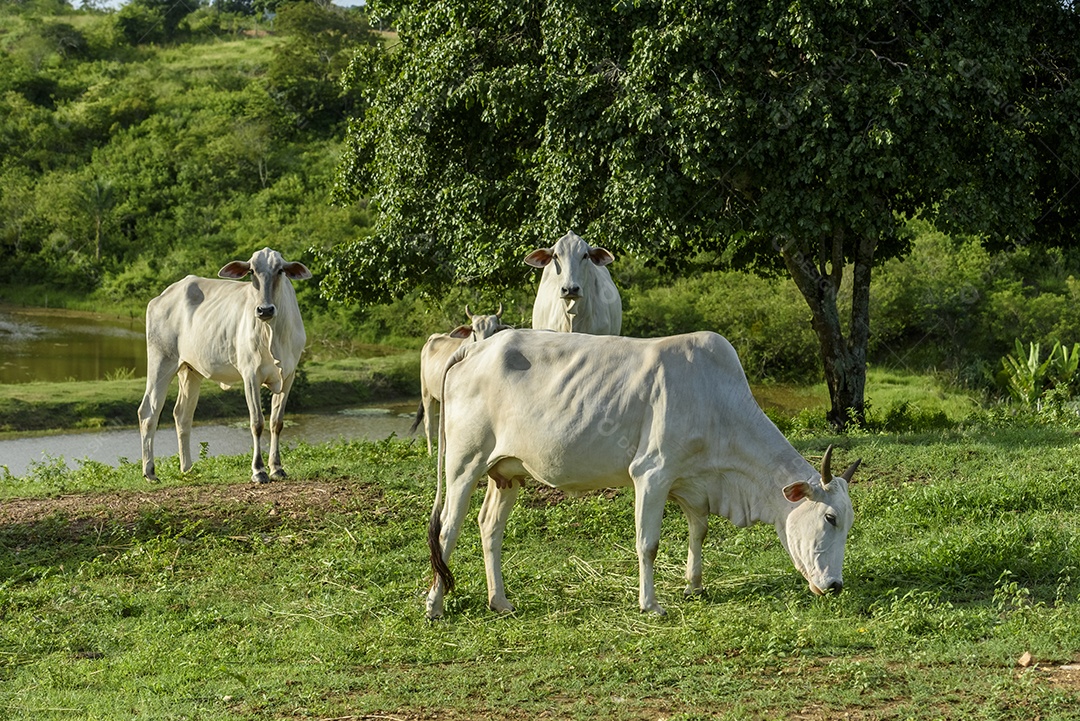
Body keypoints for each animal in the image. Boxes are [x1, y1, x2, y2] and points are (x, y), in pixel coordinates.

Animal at [137, 248, 311, 483]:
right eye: (251, 271)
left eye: (280, 270)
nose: (264, 310)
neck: (273, 333)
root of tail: (163, 296)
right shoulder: (250, 375)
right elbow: (257, 422)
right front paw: (259, 470)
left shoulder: (288, 376)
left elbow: (277, 422)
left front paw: (277, 467)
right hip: (161, 361)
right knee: (148, 411)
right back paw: (150, 471)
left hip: (190, 371)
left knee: (182, 415)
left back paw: (187, 468)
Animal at [412, 302, 514, 451]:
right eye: (474, 331)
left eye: (494, 330)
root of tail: (434, 337)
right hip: (427, 394)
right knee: (429, 424)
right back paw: (431, 452)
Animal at [425, 330, 855, 617]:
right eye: (829, 518)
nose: (835, 586)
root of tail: (477, 346)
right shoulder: (652, 474)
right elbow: (648, 544)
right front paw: (650, 604)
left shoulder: (693, 484)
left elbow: (699, 533)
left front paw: (694, 586)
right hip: (464, 463)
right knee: (448, 529)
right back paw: (435, 605)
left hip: (506, 473)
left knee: (489, 527)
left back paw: (499, 601)